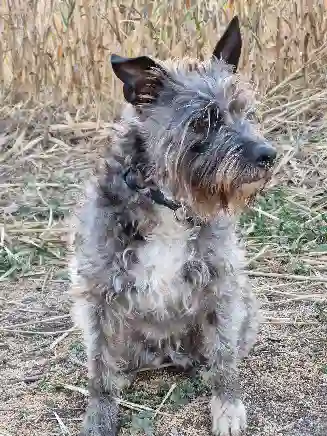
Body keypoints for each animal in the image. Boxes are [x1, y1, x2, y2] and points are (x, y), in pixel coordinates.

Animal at [68, 15, 276, 434]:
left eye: (243, 110)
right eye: (203, 120)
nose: (269, 155)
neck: (169, 203)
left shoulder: (221, 286)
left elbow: (225, 357)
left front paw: (227, 405)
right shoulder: (98, 295)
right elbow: (100, 366)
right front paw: (100, 415)